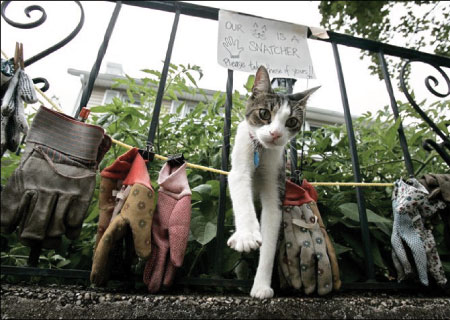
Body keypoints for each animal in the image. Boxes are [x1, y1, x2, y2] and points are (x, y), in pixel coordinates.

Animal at [227, 66, 318, 298]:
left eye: (292, 122)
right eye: (264, 114)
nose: (275, 133)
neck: (261, 151)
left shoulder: (276, 182)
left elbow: (270, 229)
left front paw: (261, 286)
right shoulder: (240, 166)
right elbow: (242, 200)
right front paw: (247, 237)